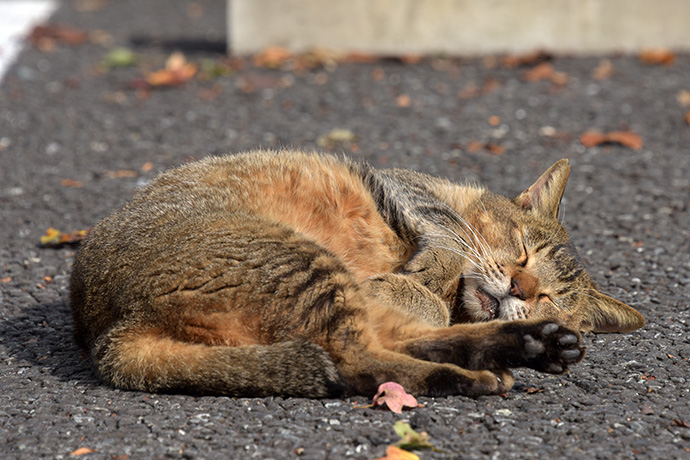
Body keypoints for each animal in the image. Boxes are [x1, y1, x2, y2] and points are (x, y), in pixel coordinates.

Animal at [67, 149, 644, 398]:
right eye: (523, 252)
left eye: (552, 297)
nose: (522, 288)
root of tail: (112, 329)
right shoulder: (414, 197)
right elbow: (446, 246)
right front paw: (422, 276)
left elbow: (432, 301)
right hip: (303, 262)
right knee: (357, 357)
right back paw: (477, 371)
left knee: (378, 348)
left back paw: (526, 347)